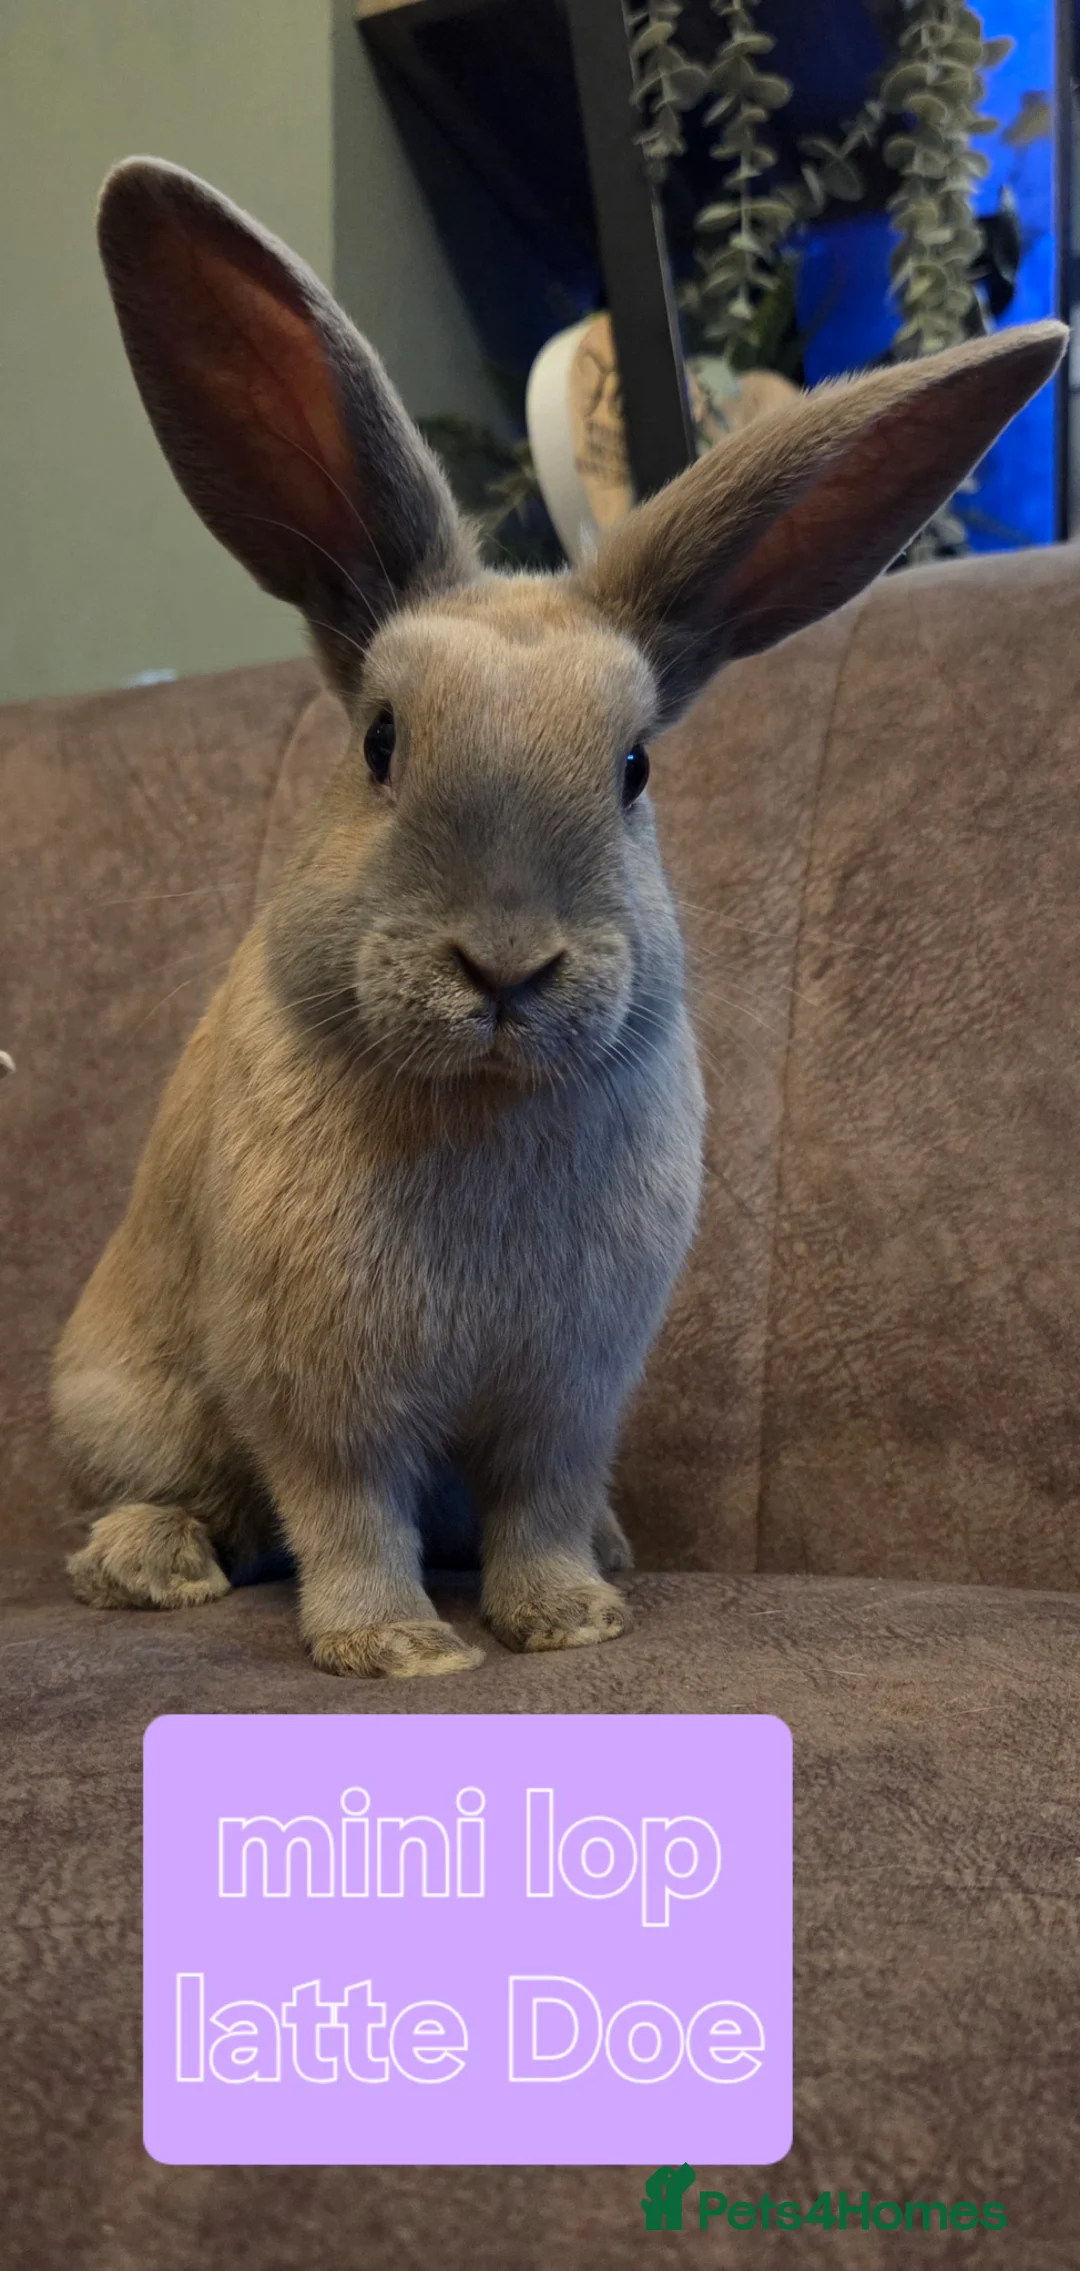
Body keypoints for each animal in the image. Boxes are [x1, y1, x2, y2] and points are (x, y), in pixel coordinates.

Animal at [53, 157, 1066, 1676]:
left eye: (635, 767)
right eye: (380, 741)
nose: (508, 965)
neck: (484, 1099)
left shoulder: (568, 1393)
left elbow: (535, 1503)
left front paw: (571, 1620)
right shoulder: (322, 1393)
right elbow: (347, 1513)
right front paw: (400, 1651)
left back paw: (612, 1552)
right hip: (126, 1396)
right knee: (182, 1494)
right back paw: (150, 1566)